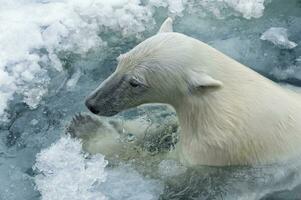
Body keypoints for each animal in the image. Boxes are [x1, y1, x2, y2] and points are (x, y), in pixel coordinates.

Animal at [82, 18, 301, 166]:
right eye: (119, 61)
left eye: (135, 83)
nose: (92, 104)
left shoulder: (215, 148)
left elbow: (160, 165)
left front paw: (91, 132)